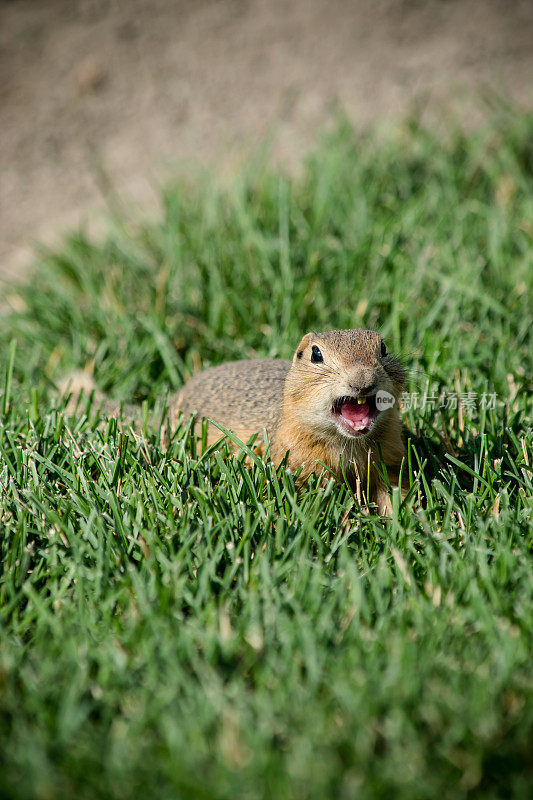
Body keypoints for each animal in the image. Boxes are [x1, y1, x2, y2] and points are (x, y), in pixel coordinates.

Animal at [177, 330, 406, 512]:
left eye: (383, 348)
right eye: (316, 354)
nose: (362, 382)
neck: (348, 442)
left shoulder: (391, 459)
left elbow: (393, 492)